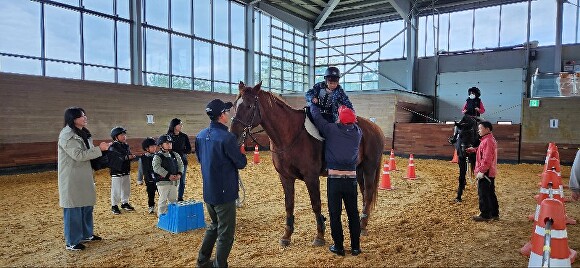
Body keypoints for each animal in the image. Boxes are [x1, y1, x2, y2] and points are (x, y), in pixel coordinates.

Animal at [230, 81, 386, 247]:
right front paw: (286, 236)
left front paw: (320, 236)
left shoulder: (311, 177)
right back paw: (362, 223)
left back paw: (362, 227)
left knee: (368, 194)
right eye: (234, 105)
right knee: (364, 194)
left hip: (369, 168)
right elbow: (289, 205)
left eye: (249, 106)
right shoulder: (285, 177)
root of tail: (375, 128)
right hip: (358, 170)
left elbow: (316, 204)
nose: (233, 134)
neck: (290, 135)